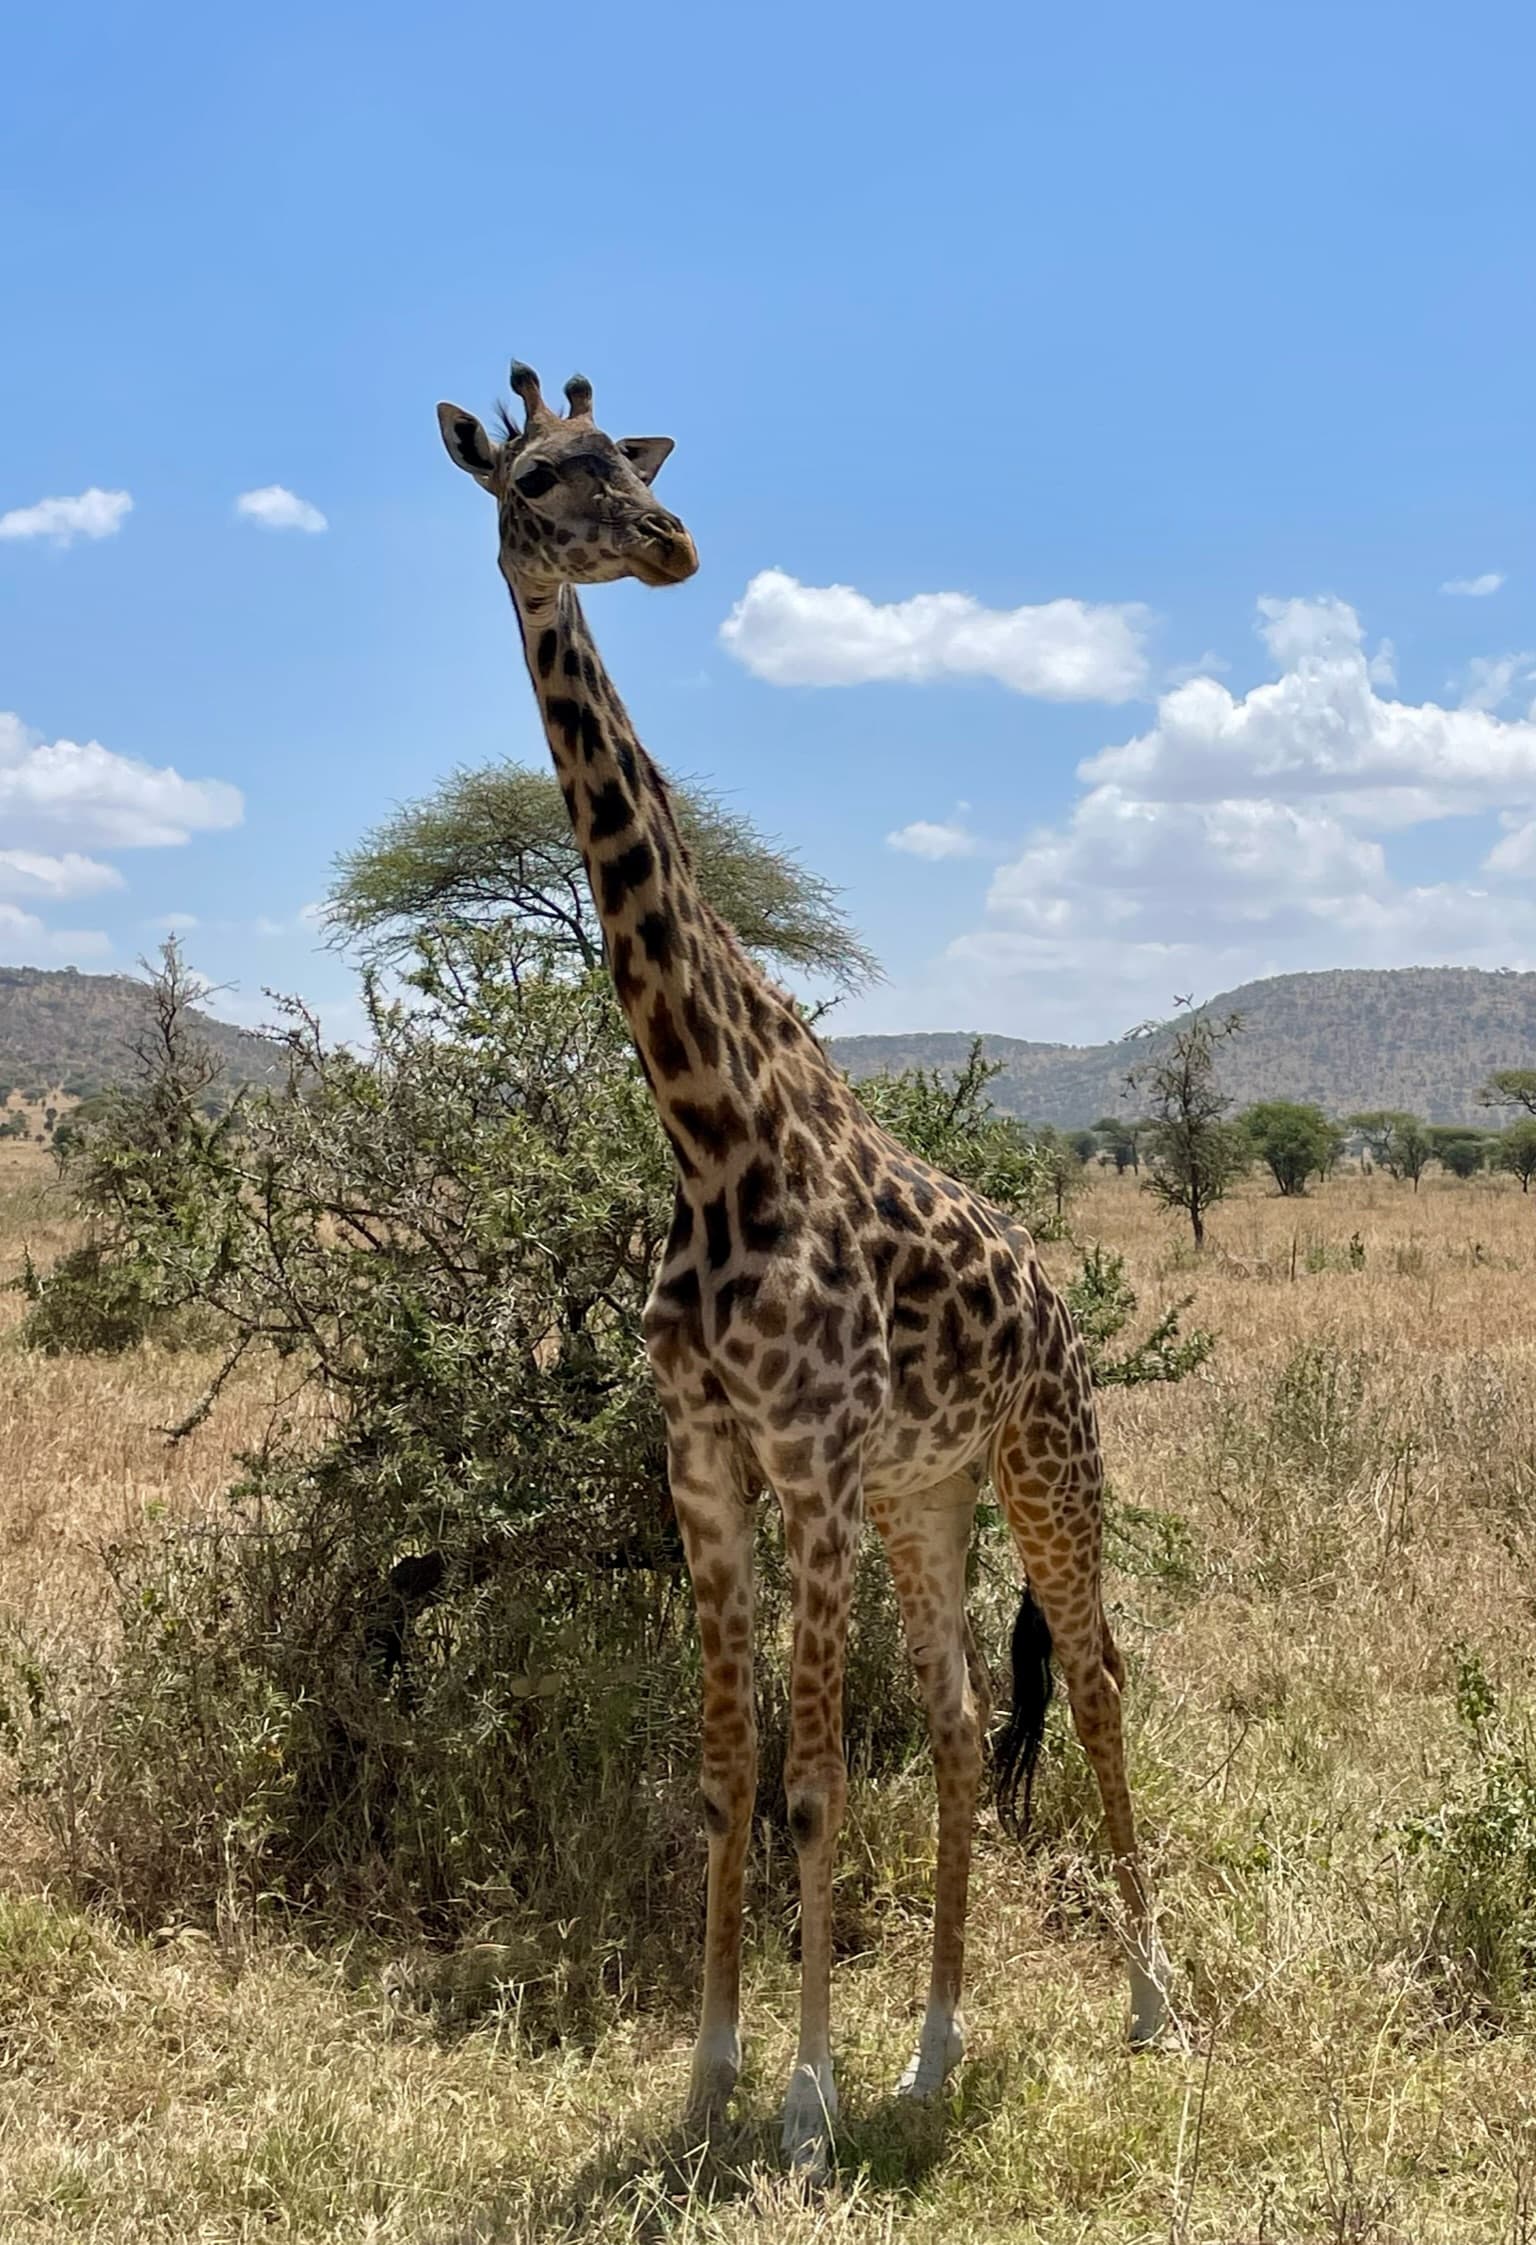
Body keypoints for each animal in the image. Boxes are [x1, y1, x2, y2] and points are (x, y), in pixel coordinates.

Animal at [436, 359, 1171, 2173]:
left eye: (627, 458)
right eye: (539, 477)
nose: (674, 542)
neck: (708, 1130)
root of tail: (1058, 1294)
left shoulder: (812, 1461)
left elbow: (818, 1785)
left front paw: (803, 2108)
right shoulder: (711, 1464)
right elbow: (726, 1778)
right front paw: (713, 2079)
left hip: (1042, 1458)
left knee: (1099, 1677)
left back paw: (1149, 2002)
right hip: (930, 1493)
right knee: (969, 1719)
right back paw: (935, 2051)